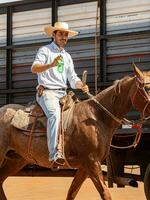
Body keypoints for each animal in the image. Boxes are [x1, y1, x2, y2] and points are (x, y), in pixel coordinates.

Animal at [0, 65, 149, 199]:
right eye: (146, 88)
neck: (97, 117)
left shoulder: (85, 166)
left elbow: (72, 192)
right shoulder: (91, 162)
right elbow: (105, 193)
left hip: (16, 159)